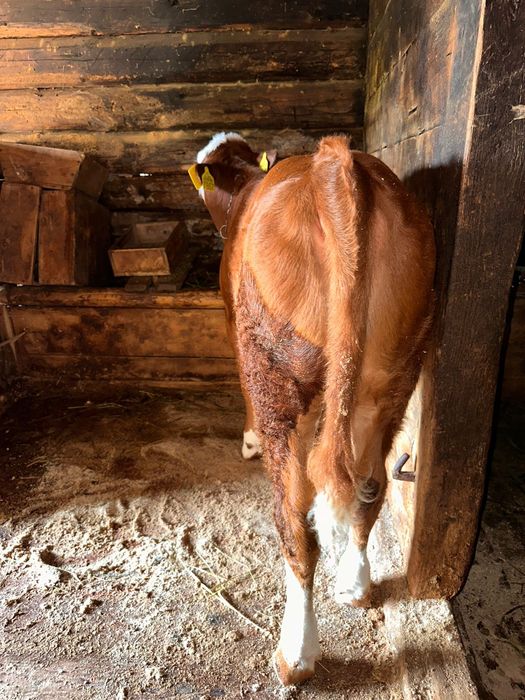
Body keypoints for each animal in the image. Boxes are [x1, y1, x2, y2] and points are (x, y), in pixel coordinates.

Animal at [188, 132, 436, 686]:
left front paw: (247, 439)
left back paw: (295, 653)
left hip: (276, 371)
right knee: (371, 482)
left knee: (296, 519)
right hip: (392, 368)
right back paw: (355, 584)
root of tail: (333, 162)